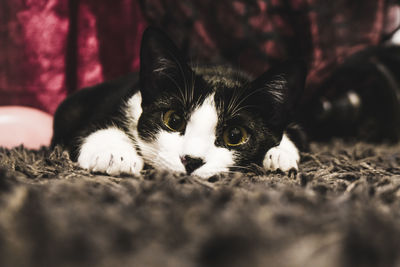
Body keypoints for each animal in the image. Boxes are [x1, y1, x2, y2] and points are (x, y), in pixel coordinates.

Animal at [50, 26, 306, 180]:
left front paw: (280, 153)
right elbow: (94, 125)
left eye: (234, 135)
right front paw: (114, 154)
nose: (191, 161)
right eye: (173, 120)